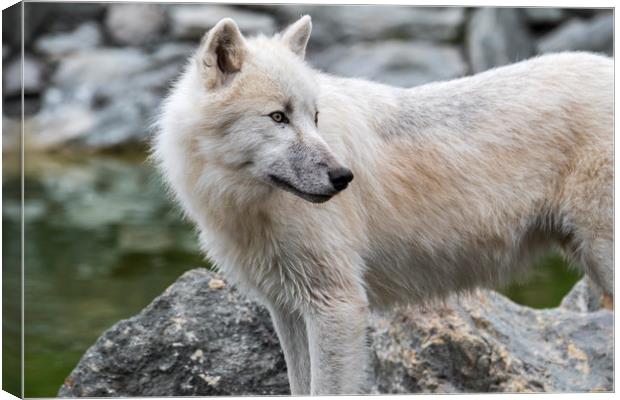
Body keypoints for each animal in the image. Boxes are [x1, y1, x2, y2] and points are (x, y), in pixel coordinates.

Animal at [153, 14, 612, 394]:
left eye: (314, 117)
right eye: (278, 117)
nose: (343, 177)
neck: (246, 205)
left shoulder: (337, 306)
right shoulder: (286, 308)